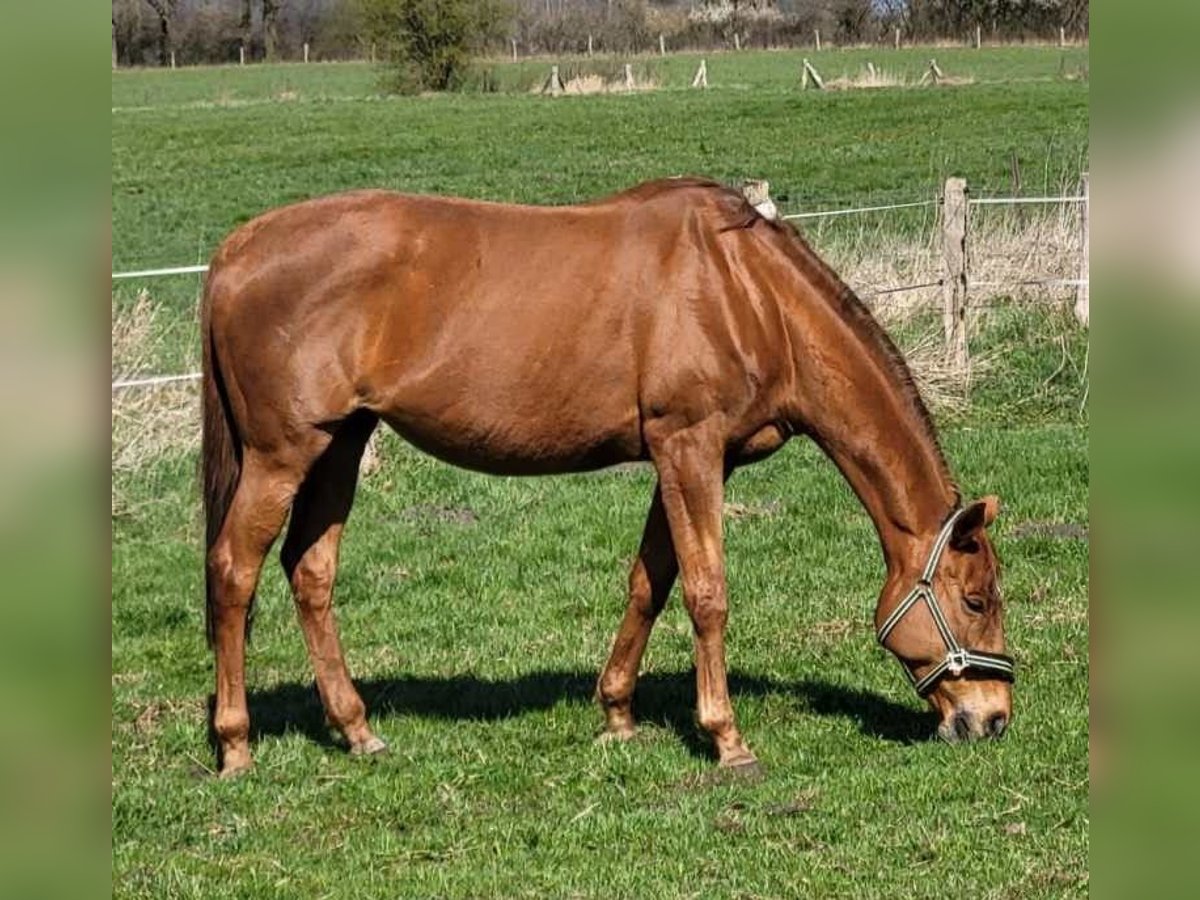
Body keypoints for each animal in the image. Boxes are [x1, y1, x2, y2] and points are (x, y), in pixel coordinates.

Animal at [204, 177, 1012, 782]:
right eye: (975, 599)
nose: (994, 717)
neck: (747, 291)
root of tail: (236, 248)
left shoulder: (684, 458)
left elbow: (648, 582)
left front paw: (618, 714)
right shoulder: (689, 447)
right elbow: (706, 593)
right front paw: (727, 740)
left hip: (341, 443)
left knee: (309, 571)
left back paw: (357, 730)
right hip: (282, 454)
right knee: (234, 571)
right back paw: (236, 745)